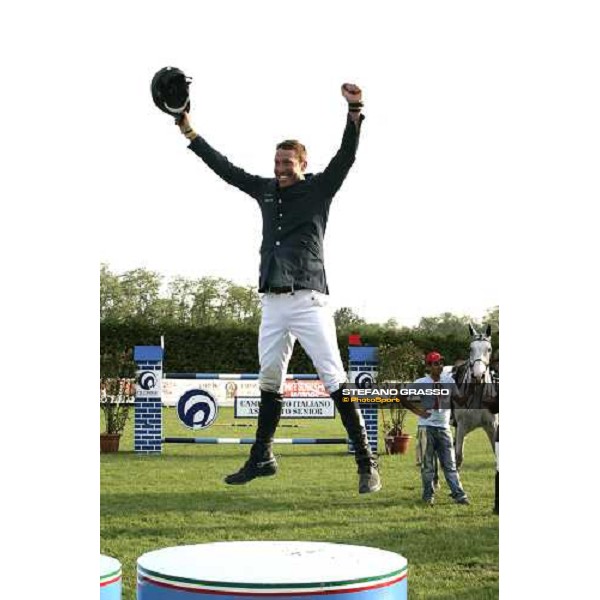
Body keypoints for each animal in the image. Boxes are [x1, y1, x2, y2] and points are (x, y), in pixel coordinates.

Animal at [452, 324, 500, 468]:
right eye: (470, 349)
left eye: (489, 349)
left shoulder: (492, 427)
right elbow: (458, 457)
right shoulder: (461, 426)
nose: (478, 376)